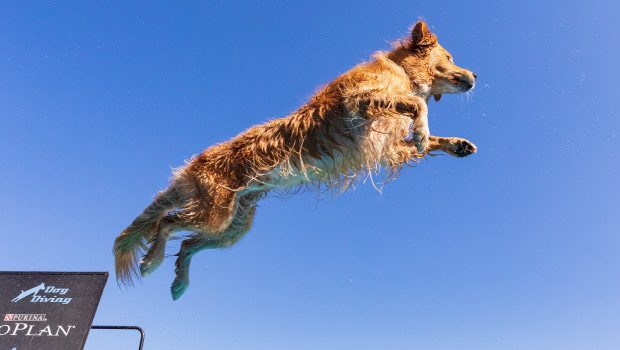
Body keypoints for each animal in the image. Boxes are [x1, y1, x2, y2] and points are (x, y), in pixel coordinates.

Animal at [114, 20, 478, 300]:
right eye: (450, 57)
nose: (474, 75)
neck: (402, 72)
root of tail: (192, 168)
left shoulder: (388, 148)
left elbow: (427, 136)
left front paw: (456, 144)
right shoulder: (359, 101)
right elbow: (419, 106)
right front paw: (422, 129)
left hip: (234, 225)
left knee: (188, 244)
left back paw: (179, 283)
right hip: (214, 215)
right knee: (166, 223)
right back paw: (152, 261)